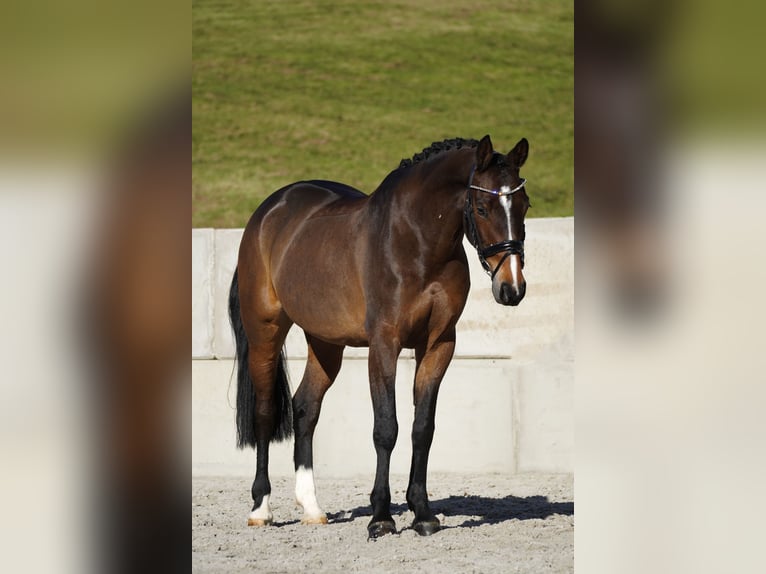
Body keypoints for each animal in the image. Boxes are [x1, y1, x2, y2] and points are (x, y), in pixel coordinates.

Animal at [225, 135, 532, 540]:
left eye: (525, 205)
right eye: (482, 207)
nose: (512, 289)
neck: (415, 243)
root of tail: (267, 212)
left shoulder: (438, 344)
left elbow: (422, 428)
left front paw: (422, 513)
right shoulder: (384, 344)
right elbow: (386, 428)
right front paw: (382, 517)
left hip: (325, 343)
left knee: (305, 408)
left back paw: (312, 508)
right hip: (266, 331)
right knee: (265, 411)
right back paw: (261, 508)